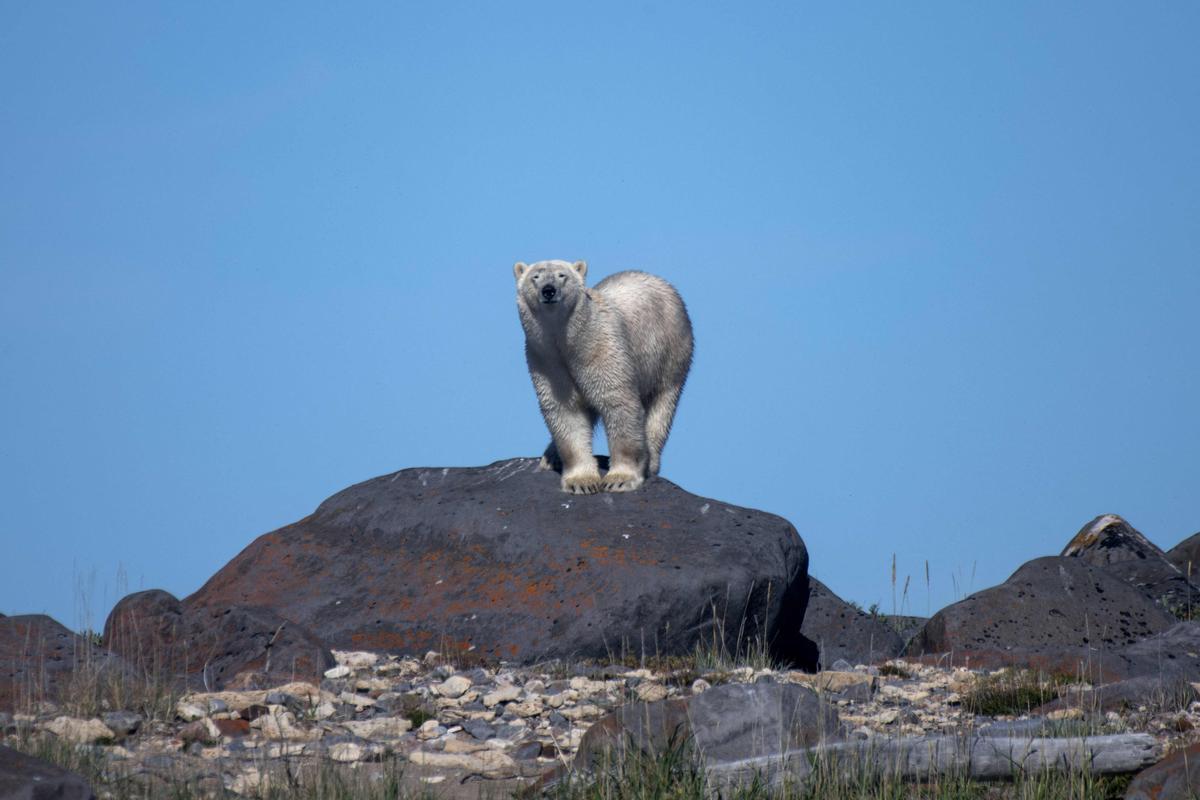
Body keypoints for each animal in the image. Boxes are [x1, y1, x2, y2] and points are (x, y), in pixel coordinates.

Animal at [513, 261, 696, 494]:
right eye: (535, 277)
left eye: (562, 275)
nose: (548, 290)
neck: (570, 342)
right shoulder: (545, 360)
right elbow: (566, 412)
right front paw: (581, 481)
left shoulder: (602, 349)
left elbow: (618, 403)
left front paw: (620, 478)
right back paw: (550, 457)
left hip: (671, 353)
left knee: (661, 407)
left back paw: (651, 461)